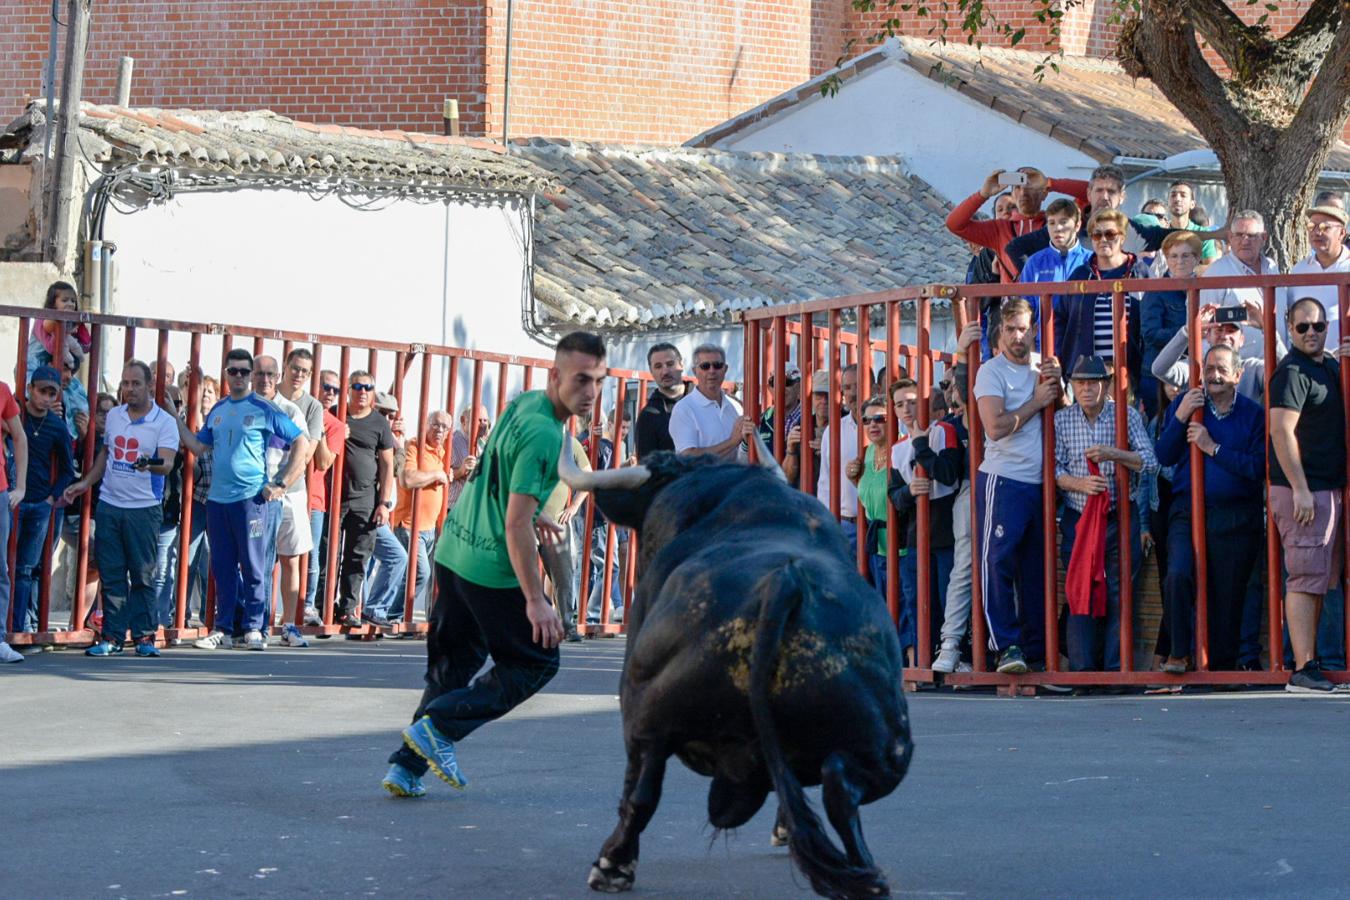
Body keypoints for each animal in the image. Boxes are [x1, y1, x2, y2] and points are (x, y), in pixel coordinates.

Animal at [558, 445, 918, 900]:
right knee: (840, 786)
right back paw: (865, 875)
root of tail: (786, 582)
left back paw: (612, 865)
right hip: (889, 746)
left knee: (642, 789)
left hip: (647, 710)